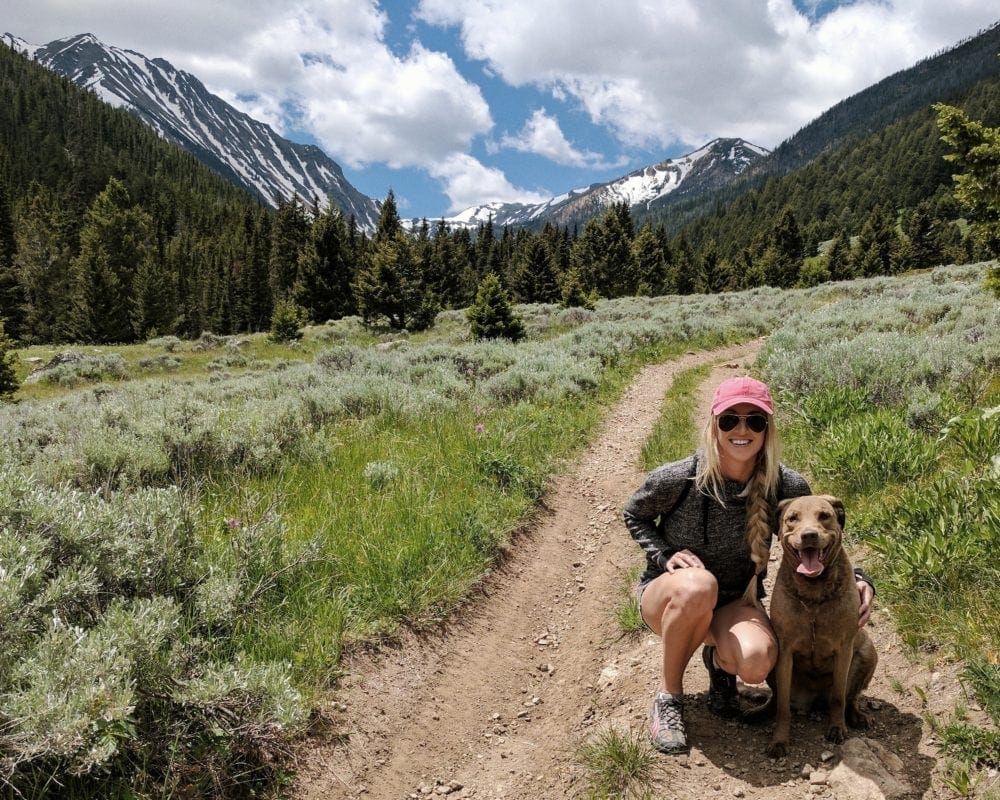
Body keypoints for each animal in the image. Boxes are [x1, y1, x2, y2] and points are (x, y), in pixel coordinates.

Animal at [764, 494, 876, 756]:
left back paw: (856, 716)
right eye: (792, 518)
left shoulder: (844, 650)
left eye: (824, 516)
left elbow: (839, 697)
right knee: (777, 699)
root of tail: (813, 700)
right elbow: (783, 707)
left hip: (869, 652)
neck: (813, 592)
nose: (809, 535)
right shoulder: (784, 651)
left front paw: (837, 728)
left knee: (850, 698)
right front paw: (779, 740)